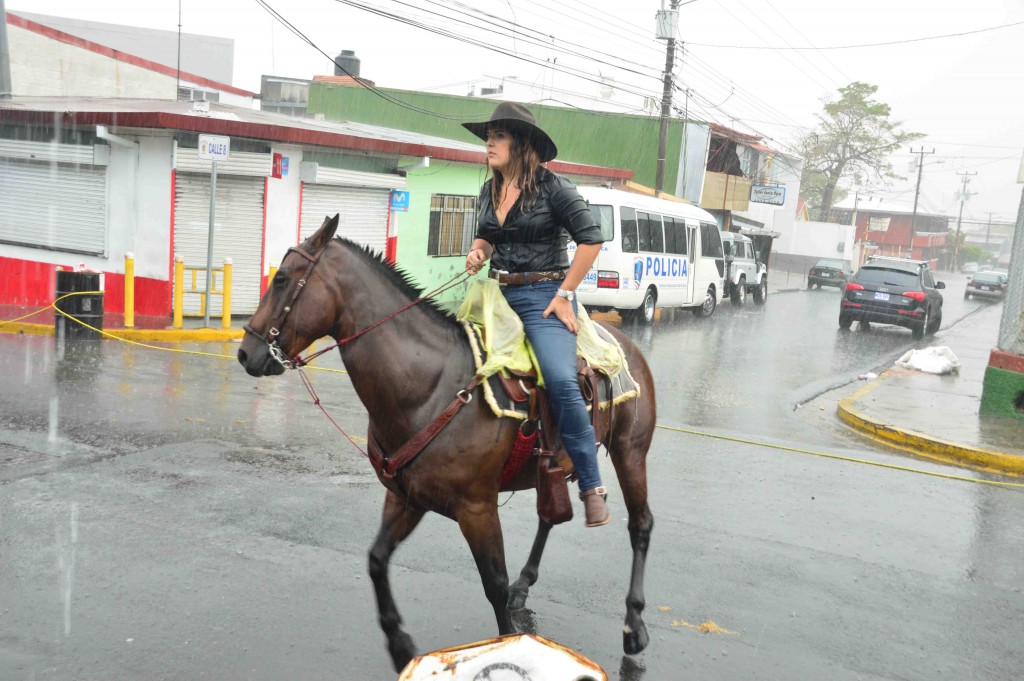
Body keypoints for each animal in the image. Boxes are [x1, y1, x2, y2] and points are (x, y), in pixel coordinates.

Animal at [235, 216, 655, 667]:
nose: (245, 353)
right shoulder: (406, 498)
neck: (430, 385)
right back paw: (526, 585)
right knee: (549, 517)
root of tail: (622, 341)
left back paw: (634, 627)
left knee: (640, 525)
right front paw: (400, 645)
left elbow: (493, 584)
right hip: (557, 465)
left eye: (282, 279)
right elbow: (377, 560)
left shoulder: (477, 508)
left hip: (631, 452)